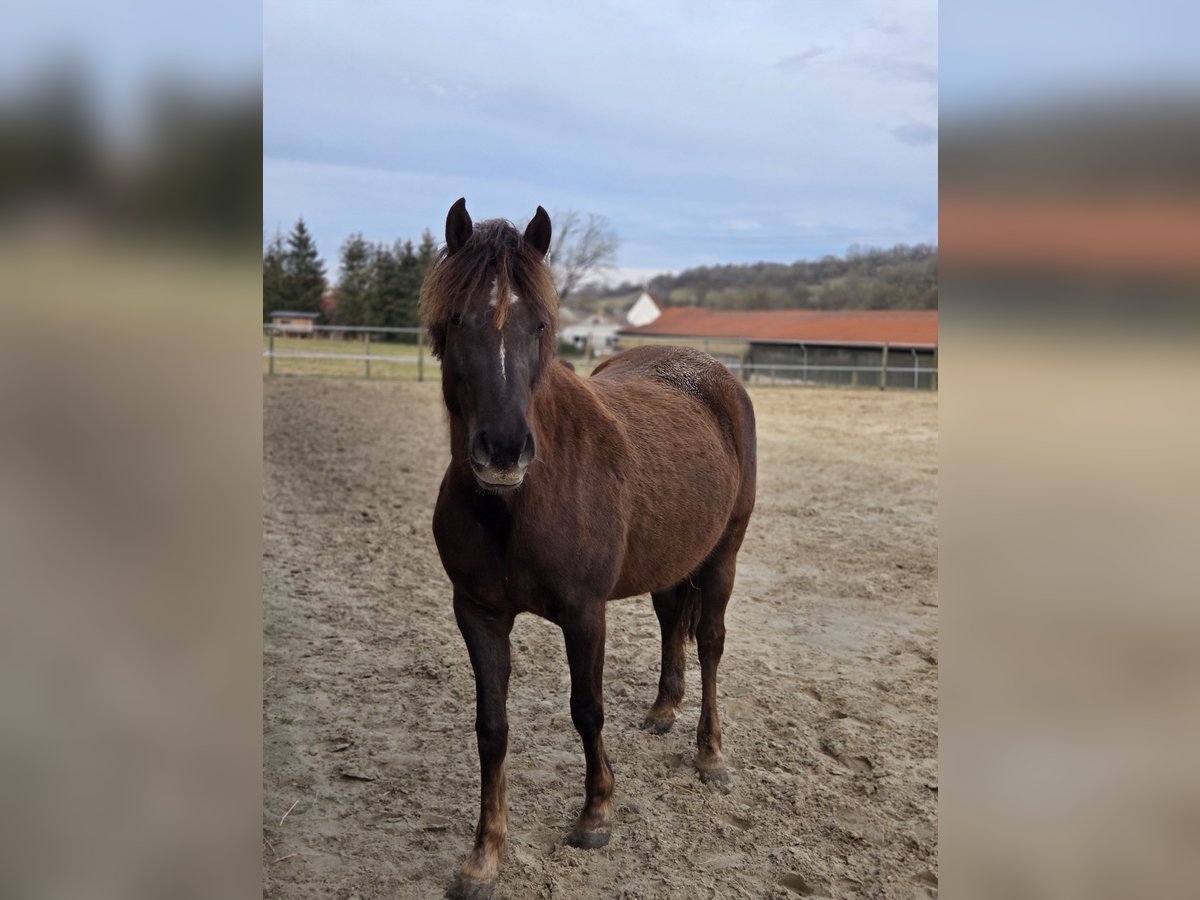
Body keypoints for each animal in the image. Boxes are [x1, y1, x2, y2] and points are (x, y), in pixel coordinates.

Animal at [422, 200, 758, 897]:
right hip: (671, 559)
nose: (503, 450)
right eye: (457, 319)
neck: (517, 507)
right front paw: (483, 857)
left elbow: (587, 709)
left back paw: (710, 754)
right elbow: (491, 728)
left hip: (723, 556)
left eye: (541, 323)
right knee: (672, 622)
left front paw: (596, 815)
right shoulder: (477, 613)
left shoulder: (584, 613)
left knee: (711, 643)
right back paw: (662, 711)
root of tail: (714, 375)